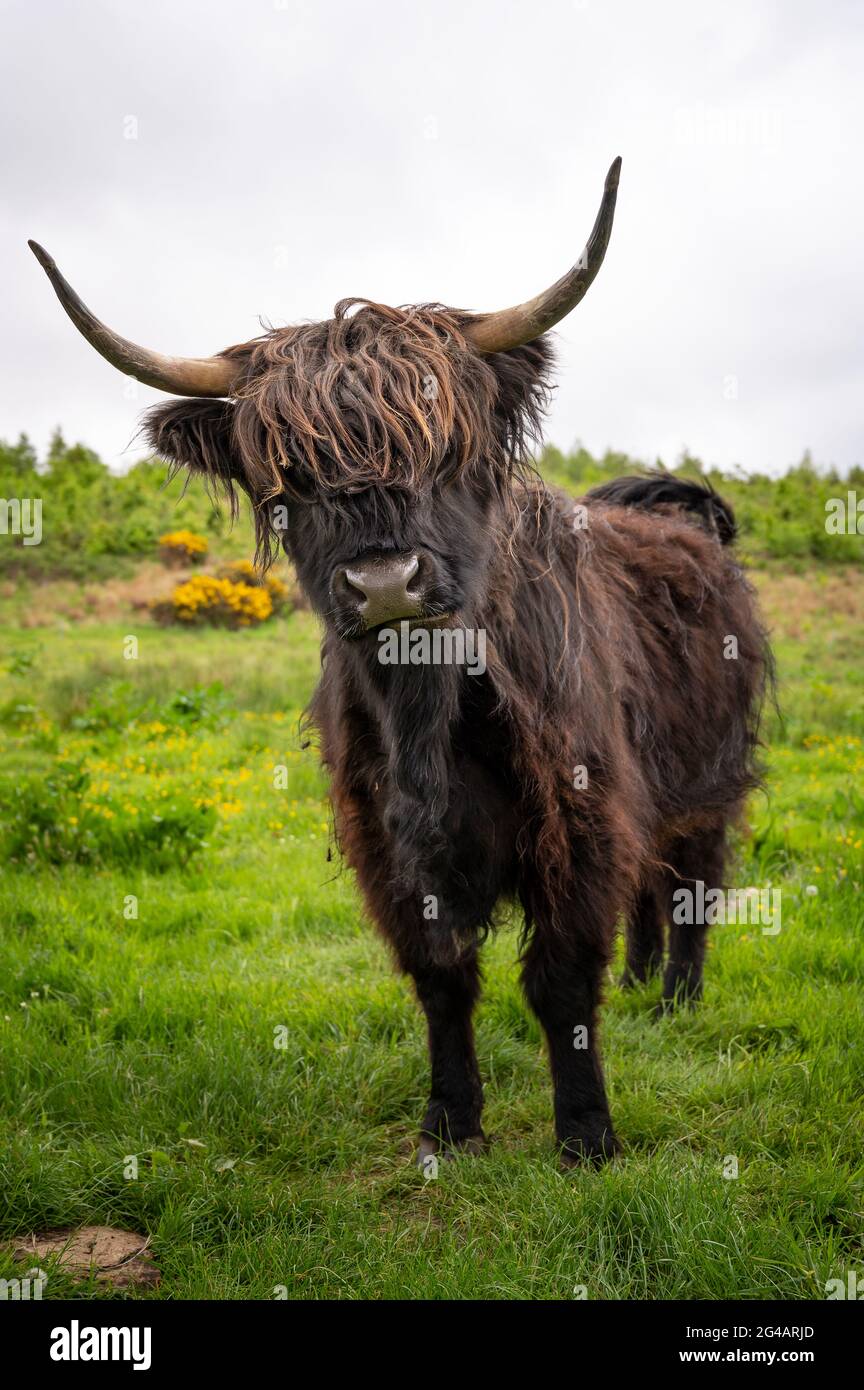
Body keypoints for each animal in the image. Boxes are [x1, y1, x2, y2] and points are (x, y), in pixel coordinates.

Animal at [30, 158, 771, 1165]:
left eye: (445, 451)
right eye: (290, 477)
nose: (384, 581)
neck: (426, 712)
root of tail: (681, 514)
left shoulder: (579, 815)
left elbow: (562, 978)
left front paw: (586, 1138)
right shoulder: (389, 846)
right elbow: (442, 979)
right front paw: (450, 1127)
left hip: (707, 781)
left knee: (690, 880)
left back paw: (678, 1001)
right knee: (651, 890)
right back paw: (645, 989)